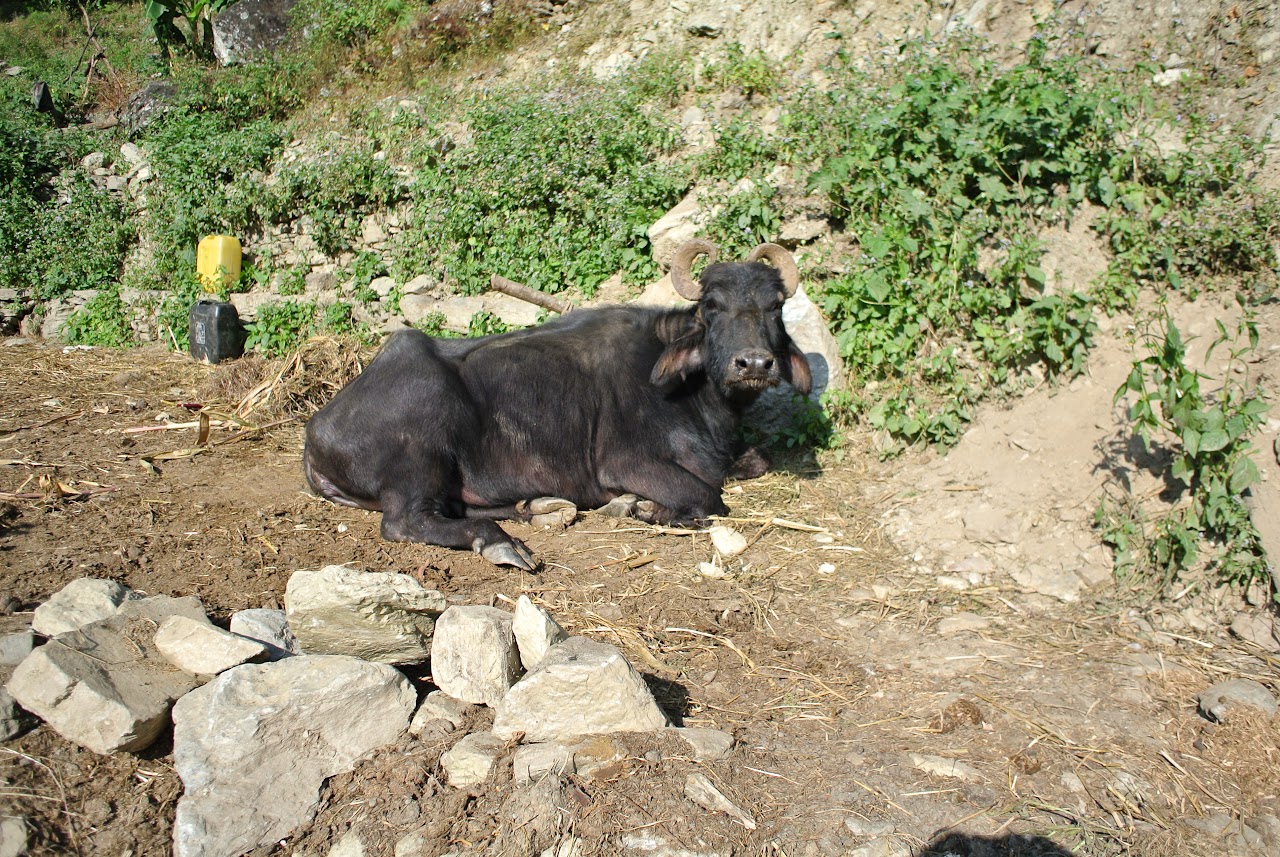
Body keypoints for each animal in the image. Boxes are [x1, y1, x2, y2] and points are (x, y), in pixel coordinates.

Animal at [299, 240, 808, 570]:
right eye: (713, 306)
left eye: (774, 306)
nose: (754, 363)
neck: (697, 397)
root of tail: (318, 425)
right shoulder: (625, 462)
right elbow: (708, 496)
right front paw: (644, 508)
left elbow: (756, 460)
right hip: (422, 445)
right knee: (405, 520)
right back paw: (501, 543)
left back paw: (538, 506)